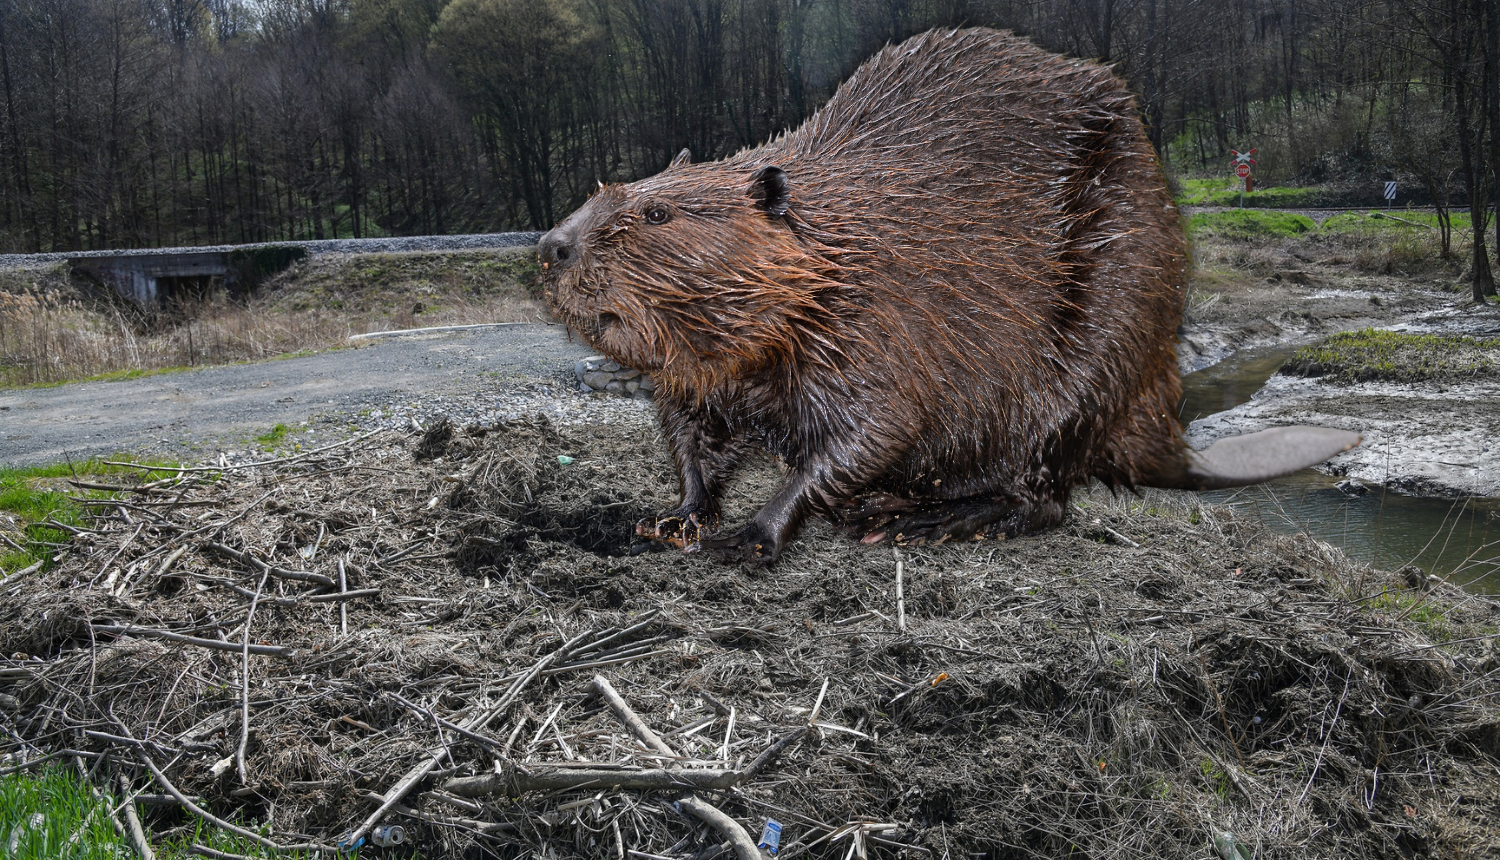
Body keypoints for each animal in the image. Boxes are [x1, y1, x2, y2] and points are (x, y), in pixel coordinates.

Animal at [543, 26, 1362, 561]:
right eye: (606, 191)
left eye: (657, 213)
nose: (552, 246)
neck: (834, 246)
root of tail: (1164, 434)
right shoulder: (702, 376)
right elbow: (692, 441)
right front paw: (673, 518)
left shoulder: (878, 324)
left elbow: (867, 432)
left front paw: (754, 532)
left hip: (1105, 327)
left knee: (1043, 493)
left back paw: (918, 517)